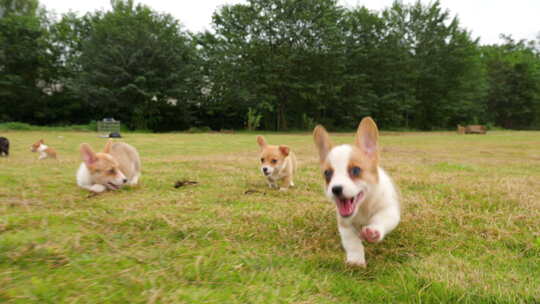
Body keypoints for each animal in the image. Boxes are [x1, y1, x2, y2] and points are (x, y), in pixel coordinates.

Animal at [312, 117, 400, 268]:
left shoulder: (389, 210)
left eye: (356, 170)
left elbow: (380, 220)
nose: (336, 189)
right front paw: (356, 260)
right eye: (327, 173)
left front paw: (373, 231)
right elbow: (352, 241)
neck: (362, 207)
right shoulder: (344, 223)